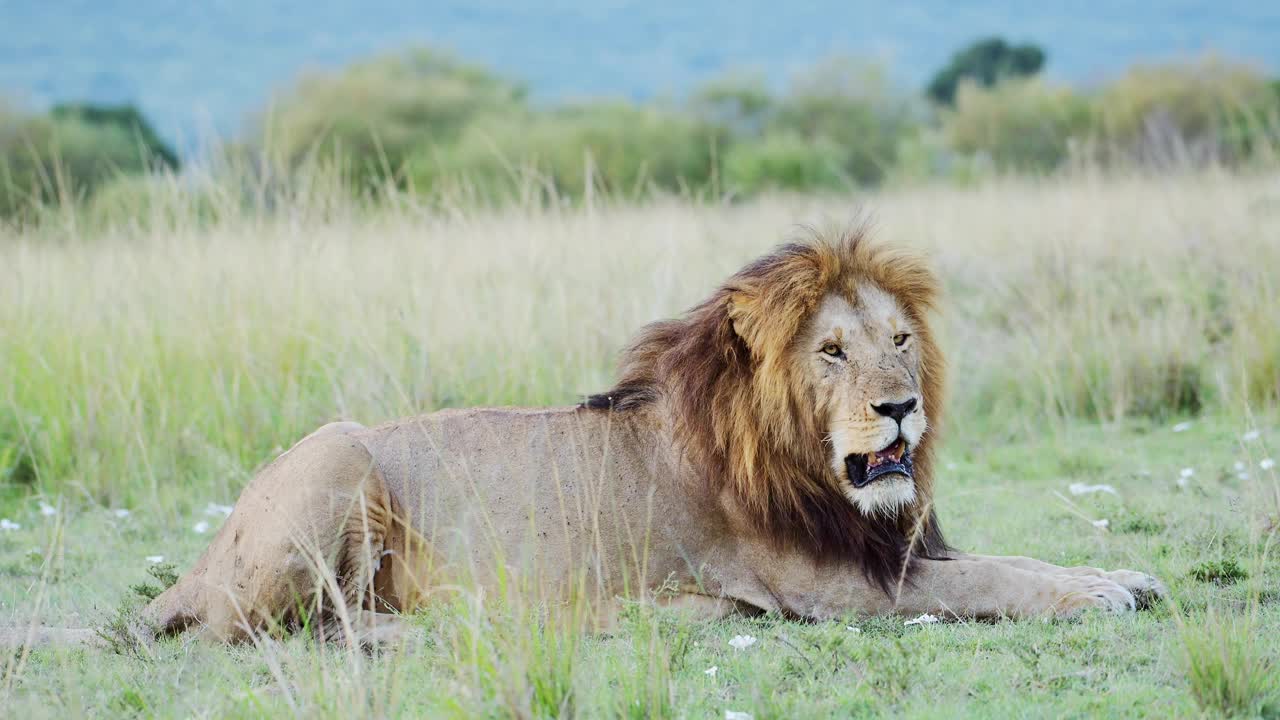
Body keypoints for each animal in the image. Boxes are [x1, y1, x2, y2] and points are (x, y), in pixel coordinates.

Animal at [135, 226, 1167, 640]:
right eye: (831, 351)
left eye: (900, 341)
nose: (899, 406)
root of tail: (202, 556)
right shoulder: (829, 586)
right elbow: (984, 581)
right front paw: (1094, 595)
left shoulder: (878, 546)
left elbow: (1010, 559)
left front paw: (1117, 574)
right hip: (337, 454)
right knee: (280, 629)